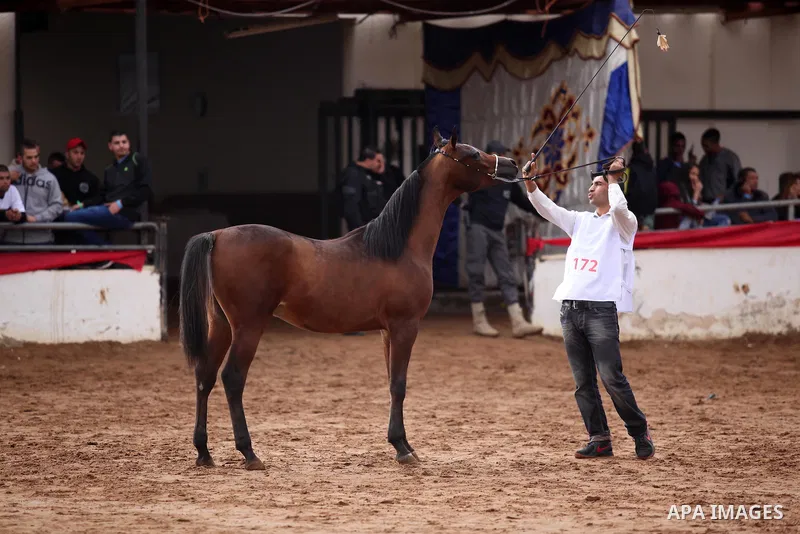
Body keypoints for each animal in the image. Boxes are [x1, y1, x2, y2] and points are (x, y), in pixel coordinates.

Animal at [178, 126, 520, 469]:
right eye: (473, 154)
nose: (513, 165)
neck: (397, 247)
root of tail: (217, 235)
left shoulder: (387, 332)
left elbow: (392, 382)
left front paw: (404, 444)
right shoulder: (405, 326)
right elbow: (399, 385)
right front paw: (402, 448)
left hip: (221, 325)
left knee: (204, 377)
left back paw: (203, 452)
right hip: (248, 327)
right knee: (232, 378)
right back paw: (249, 453)